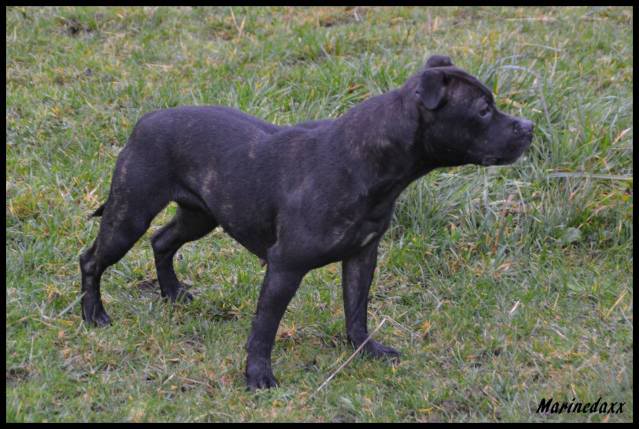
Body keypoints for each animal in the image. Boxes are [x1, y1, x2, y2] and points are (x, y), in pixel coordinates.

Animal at [81, 55, 536, 390]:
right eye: (483, 111)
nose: (528, 126)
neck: (370, 162)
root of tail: (145, 121)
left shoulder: (362, 256)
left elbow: (356, 311)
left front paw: (365, 350)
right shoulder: (286, 267)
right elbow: (265, 327)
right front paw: (258, 376)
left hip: (199, 217)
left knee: (162, 241)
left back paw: (173, 293)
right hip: (129, 216)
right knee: (92, 259)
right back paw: (94, 315)